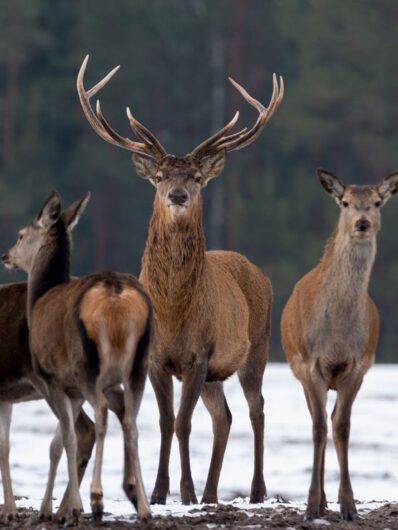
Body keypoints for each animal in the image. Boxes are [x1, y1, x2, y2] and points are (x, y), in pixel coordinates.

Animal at [2, 190, 152, 520]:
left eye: (20, 235)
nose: (5, 256)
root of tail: (116, 295)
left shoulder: (52, 380)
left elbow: (67, 438)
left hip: (85, 367)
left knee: (98, 420)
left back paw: (92, 501)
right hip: (138, 365)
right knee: (131, 421)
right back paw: (142, 502)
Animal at [77, 54, 282, 504]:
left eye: (198, 178)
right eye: (159, 177)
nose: (177, 195)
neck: (172, 312)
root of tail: (258, 272)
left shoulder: (199, 354)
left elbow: (184, 423)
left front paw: (183, 493)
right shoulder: (154, 358)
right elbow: (165, 422)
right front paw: (157, 492)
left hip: (256, 345)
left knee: (257, 409)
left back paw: (256, 491)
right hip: (216, 374)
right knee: (224, 416)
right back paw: (211, 494)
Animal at [280, 169, 398, 520]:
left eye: (377, 202)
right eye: (344, 202)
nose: (362, 222)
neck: (337, 333)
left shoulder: (359, 365)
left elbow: (342, 426)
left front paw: (348, 506)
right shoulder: (309, 364)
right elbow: (319, 427)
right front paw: (310, 506)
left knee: (330, 420)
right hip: (299, 370)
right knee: (316, 421)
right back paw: (318, 501)